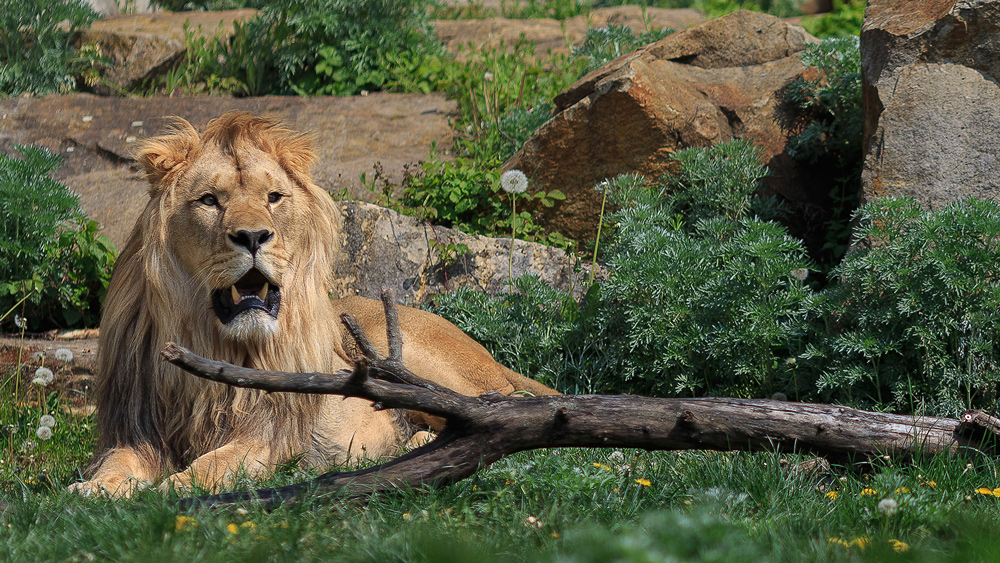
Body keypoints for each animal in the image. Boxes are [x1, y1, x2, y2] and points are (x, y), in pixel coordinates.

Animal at [69, 111, 560, 498]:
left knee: (495, 409)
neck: (214, 340)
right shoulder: (138, 427)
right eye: (209, 200)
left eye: (273, 198)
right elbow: (118, 462)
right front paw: (93, 488)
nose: (253, 236)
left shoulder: (273, 432)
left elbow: (217, 462)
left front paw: (172, 488)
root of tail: (489, 357)